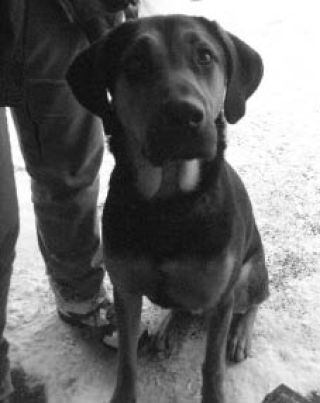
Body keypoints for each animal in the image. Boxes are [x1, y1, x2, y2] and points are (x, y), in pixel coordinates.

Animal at [66, 13, 268, 403]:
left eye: (205, 56)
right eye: (135, 63)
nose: (184, 115)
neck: (169, 203)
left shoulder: (222, 297)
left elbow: (212, 367)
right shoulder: (125, 291)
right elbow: (127, 362)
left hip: (250, 274)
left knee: (254, 301)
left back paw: (240, 334)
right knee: (184, 307)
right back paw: (169, 327)